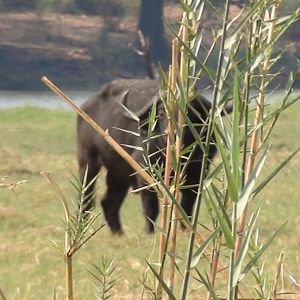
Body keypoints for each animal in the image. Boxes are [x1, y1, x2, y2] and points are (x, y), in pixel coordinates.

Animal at [77, 77, 230, 234]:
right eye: (161, 112)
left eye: (191, 112)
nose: (170, 135)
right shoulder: (146, 174)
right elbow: (151, 207)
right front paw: (149, 231)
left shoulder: (197, 175)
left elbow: (186, 207)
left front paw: (186, 231)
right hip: (87, 159)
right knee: (86, 196)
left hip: (118, 174)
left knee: (109, 202)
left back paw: (118, 233)